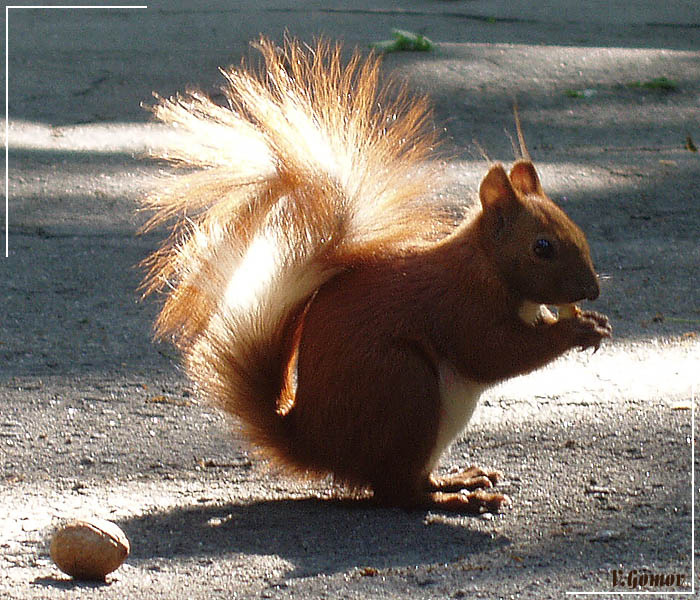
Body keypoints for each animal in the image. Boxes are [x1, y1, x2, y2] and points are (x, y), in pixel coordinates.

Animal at [141, 37, 612, 514]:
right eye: (542, 247)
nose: (591, 291)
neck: (486, 264)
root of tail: (315, 444)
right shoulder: (459, 305)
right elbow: (493, 351)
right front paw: (576, 330)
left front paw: (594, 324)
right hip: (404, 389)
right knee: (397, 492)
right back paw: (457, 500)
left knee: (410, 482)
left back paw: (456, 480)